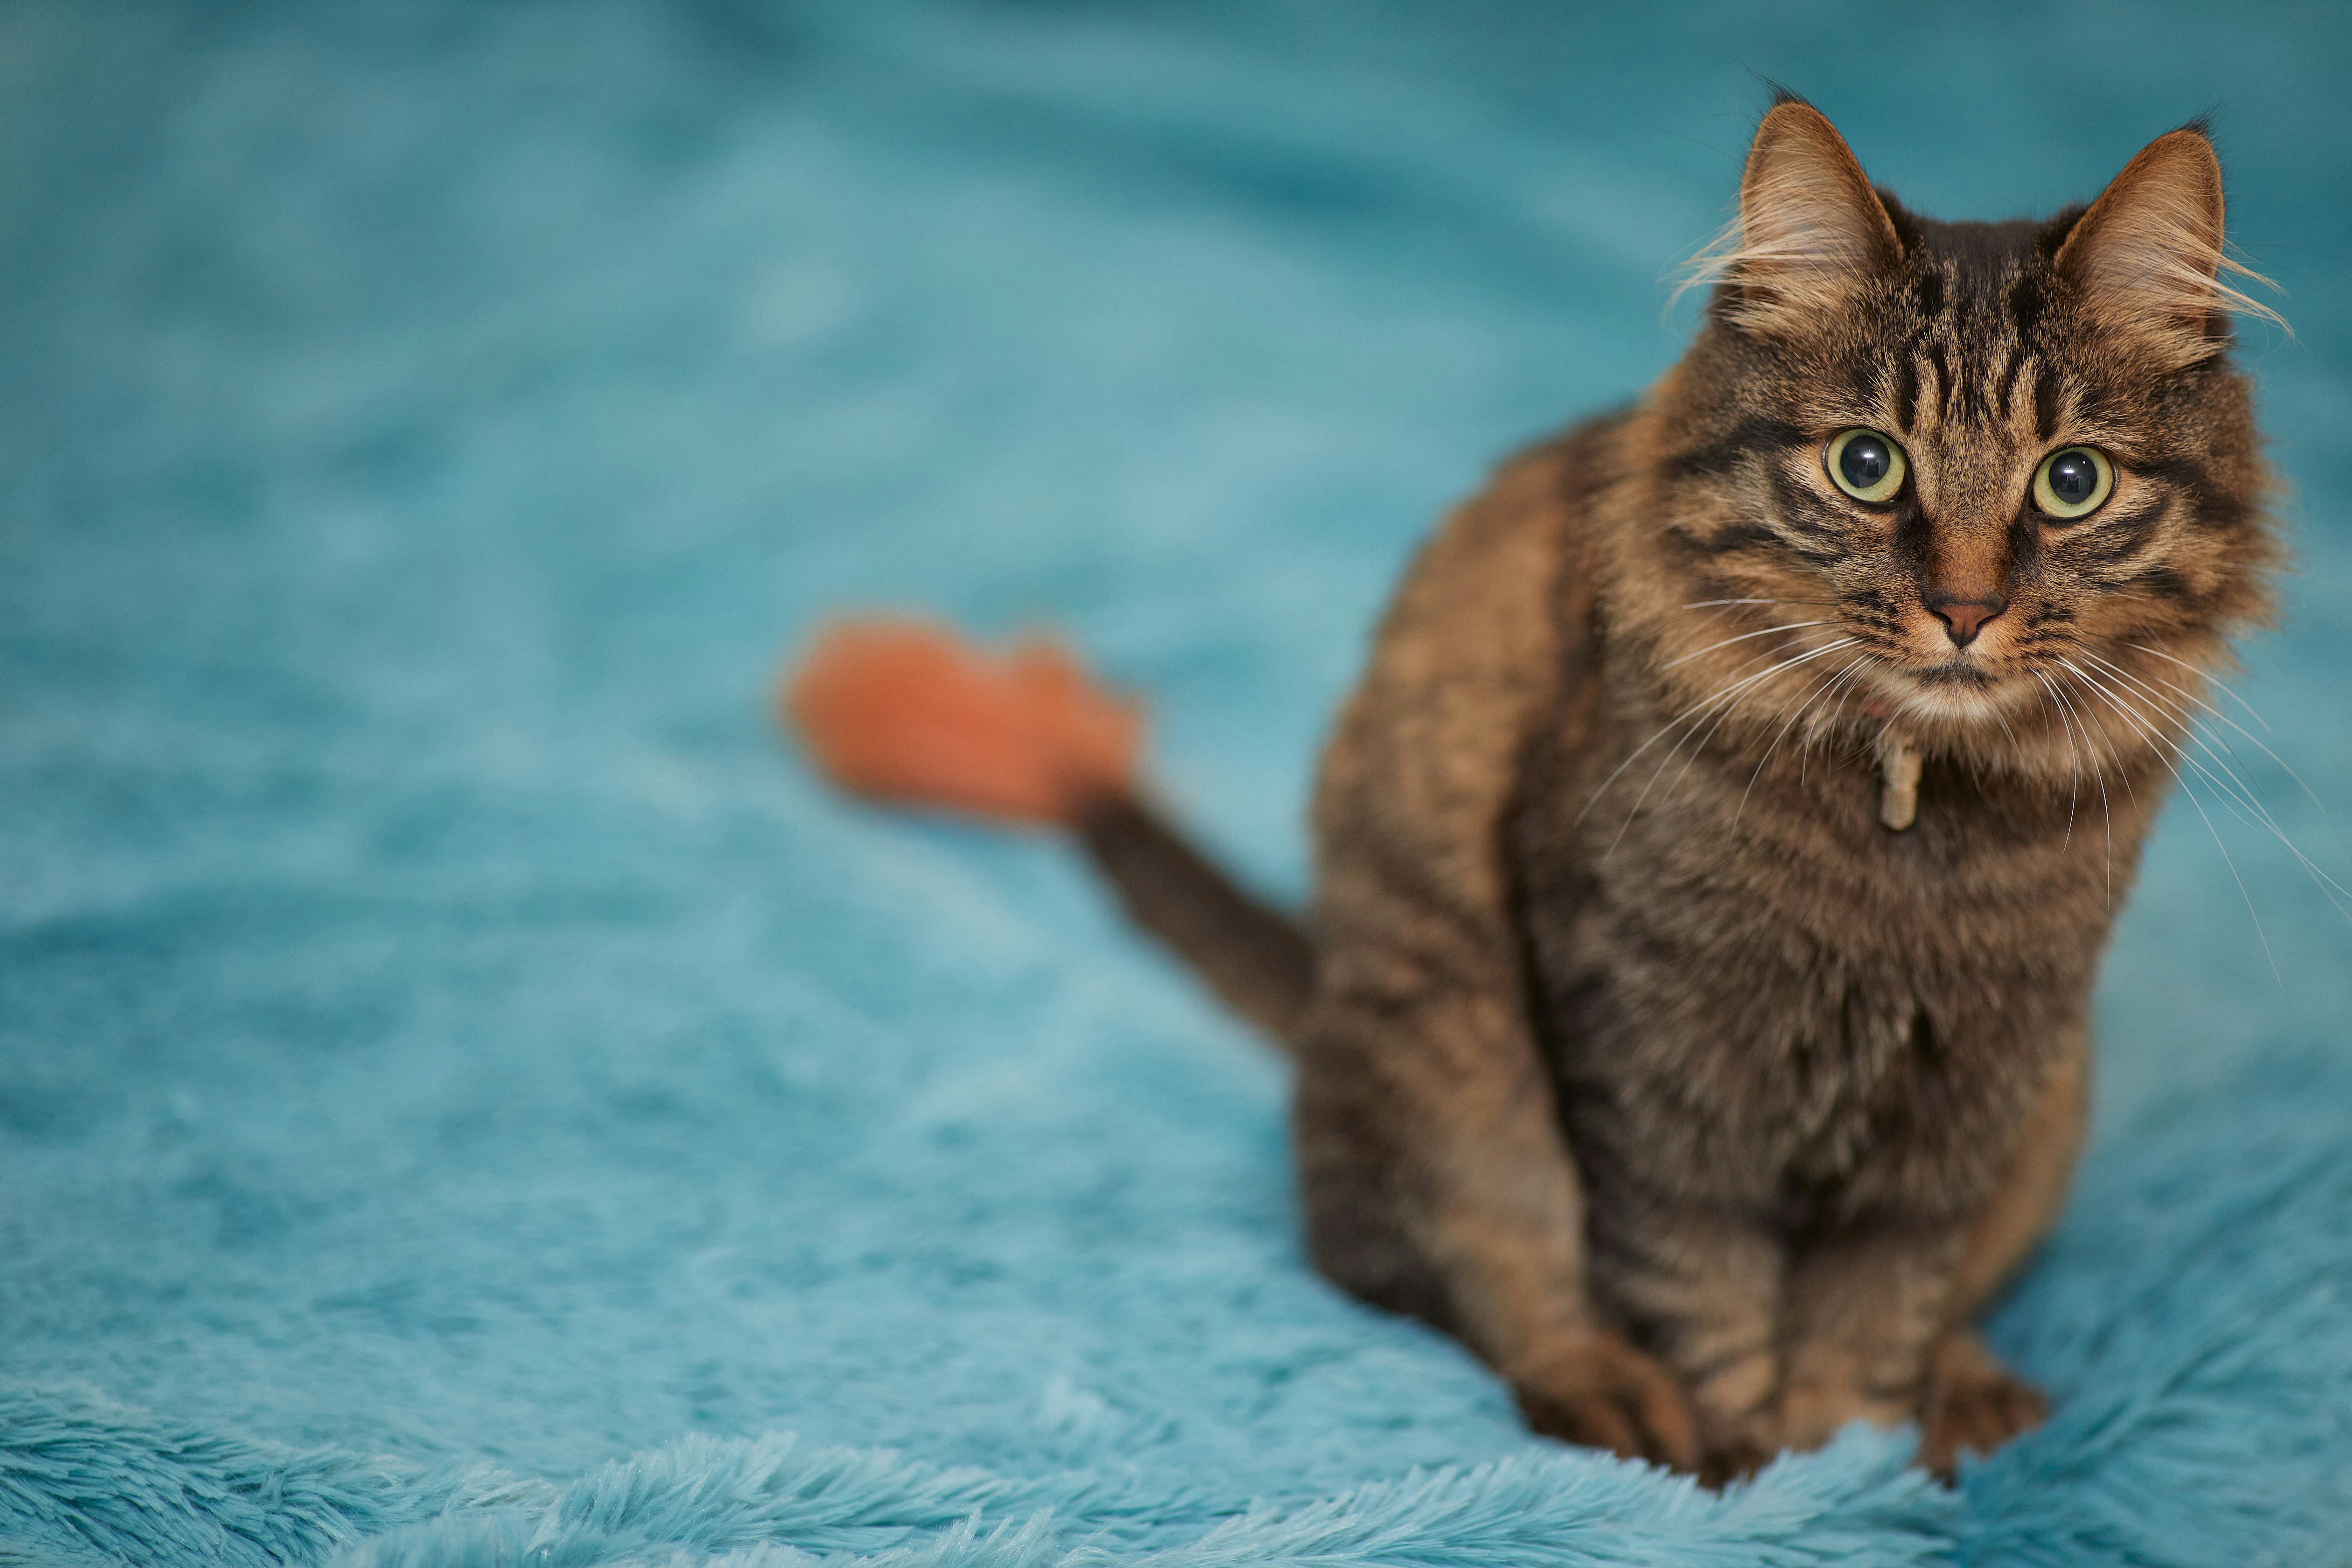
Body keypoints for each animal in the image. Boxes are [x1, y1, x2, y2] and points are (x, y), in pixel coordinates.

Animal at [790, 101, 2276, 1485]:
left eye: (2069, 483)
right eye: (1867, 466)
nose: (1963, 611)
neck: (1904, 828)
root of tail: (1324, 980)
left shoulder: (1968, 1091)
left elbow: (1878, 1314)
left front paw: (1843, 1447)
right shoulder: (1653, 1059)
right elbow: (1696, 1288)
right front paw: (1747, 1460)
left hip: (2053, 1103)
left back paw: (1967, 1392)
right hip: (1458, 1049)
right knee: (1471, 1279)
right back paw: (1609, 1397)